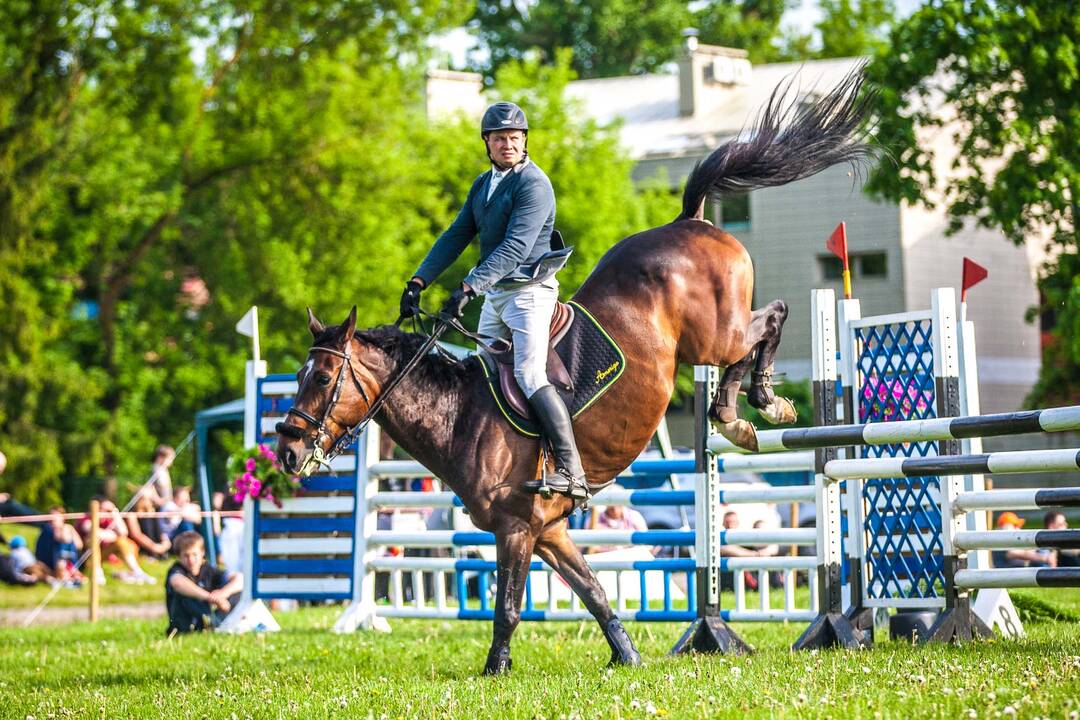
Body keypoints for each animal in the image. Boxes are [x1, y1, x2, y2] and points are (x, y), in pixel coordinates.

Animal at [276, 69, 876, 677]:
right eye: (299, 376)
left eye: (322, 379)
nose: (289, 451)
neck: (461, 414)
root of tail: (688, 220)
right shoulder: (551, 529)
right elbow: (594, 592)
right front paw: (627, 655)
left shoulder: (517, 527)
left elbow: (509, 607)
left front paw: (496, 670)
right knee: (752, 339)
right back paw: (736, 413)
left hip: (716, 333)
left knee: (770, 319)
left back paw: (753, 405)